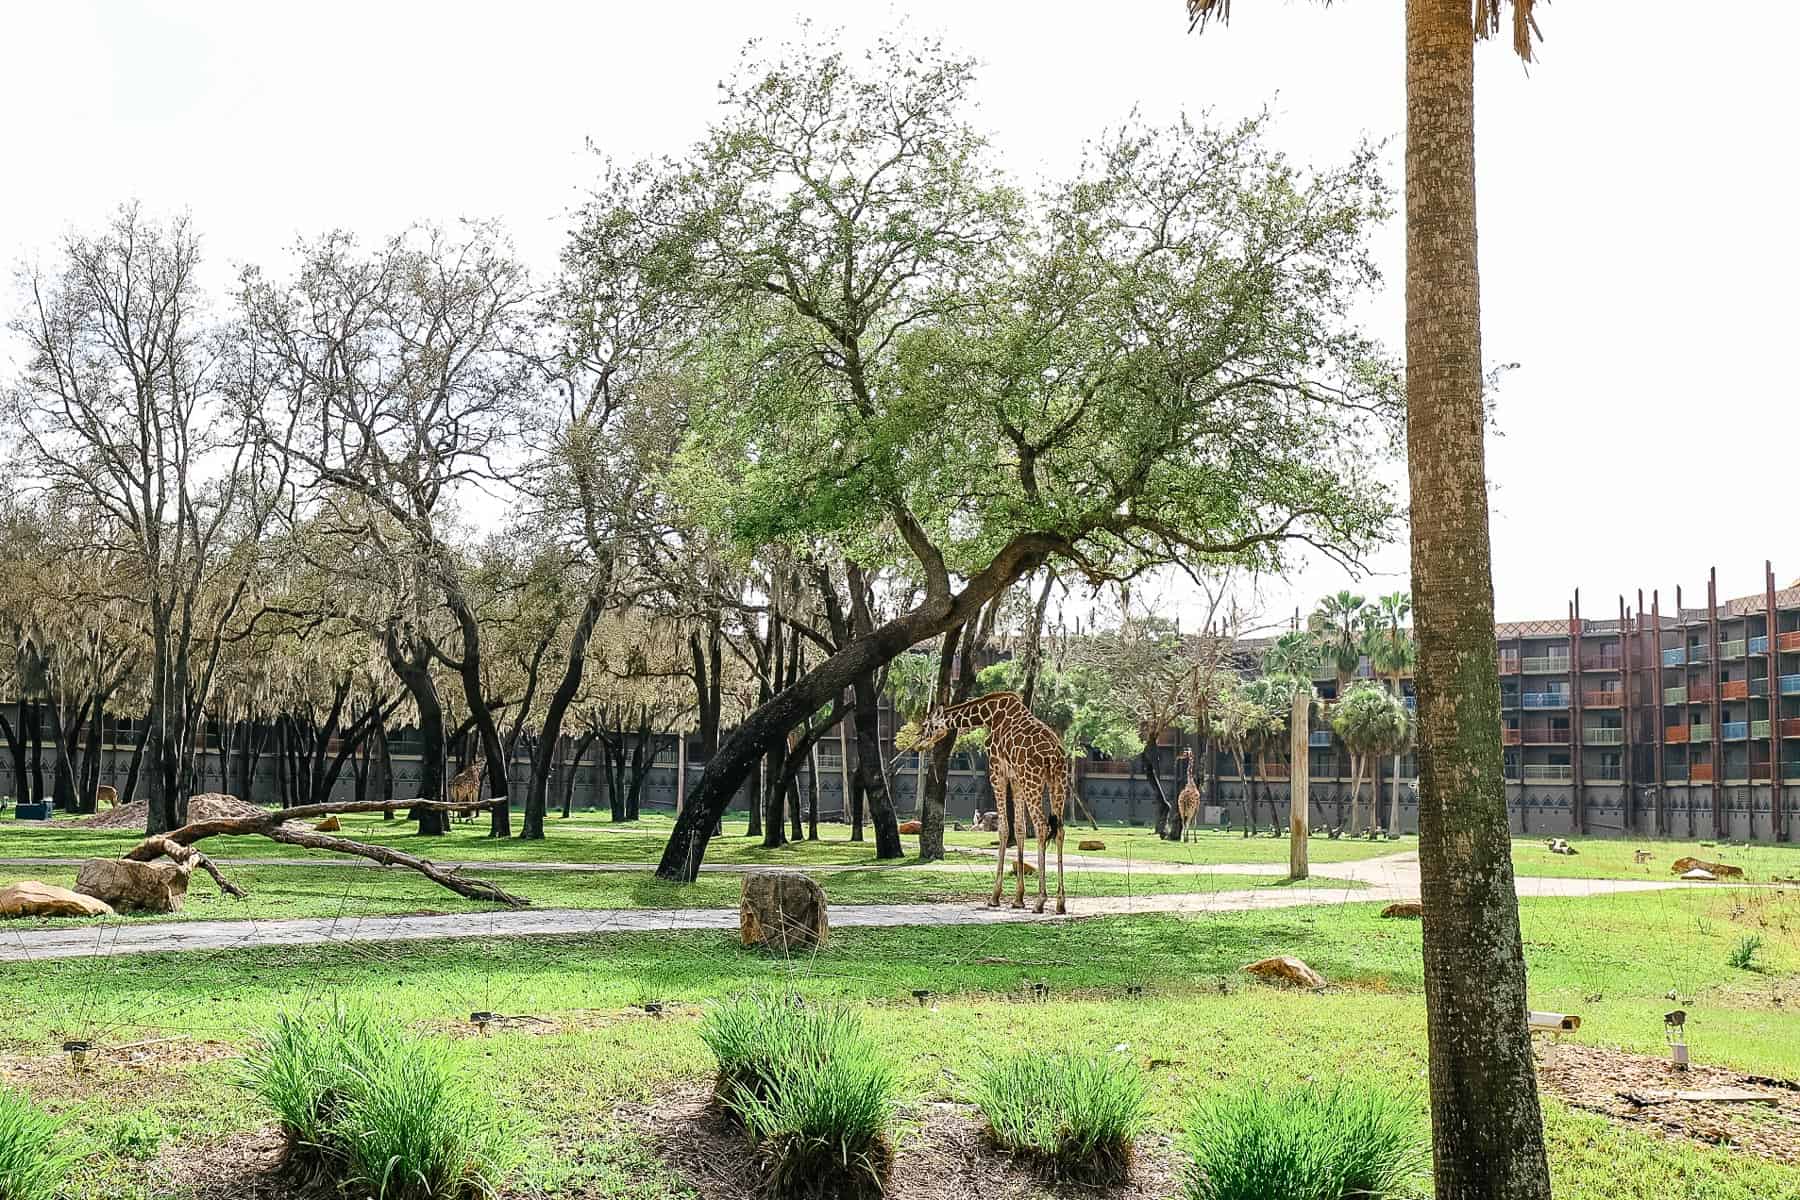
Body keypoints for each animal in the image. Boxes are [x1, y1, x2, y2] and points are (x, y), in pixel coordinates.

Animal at [914, 690, 1065, 913]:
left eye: (927, 724)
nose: (919, 743)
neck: (989, 714)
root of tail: (1054, 756)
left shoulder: (997, 770)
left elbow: (1003, 828)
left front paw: (994, 897)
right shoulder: (1015, 778)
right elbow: (1019, 828)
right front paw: (1018, 899)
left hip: (1033, 780)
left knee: (1041, 826)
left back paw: (1040, 900)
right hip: (1058, 782)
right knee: (1060, 830)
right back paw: (1061, 903)